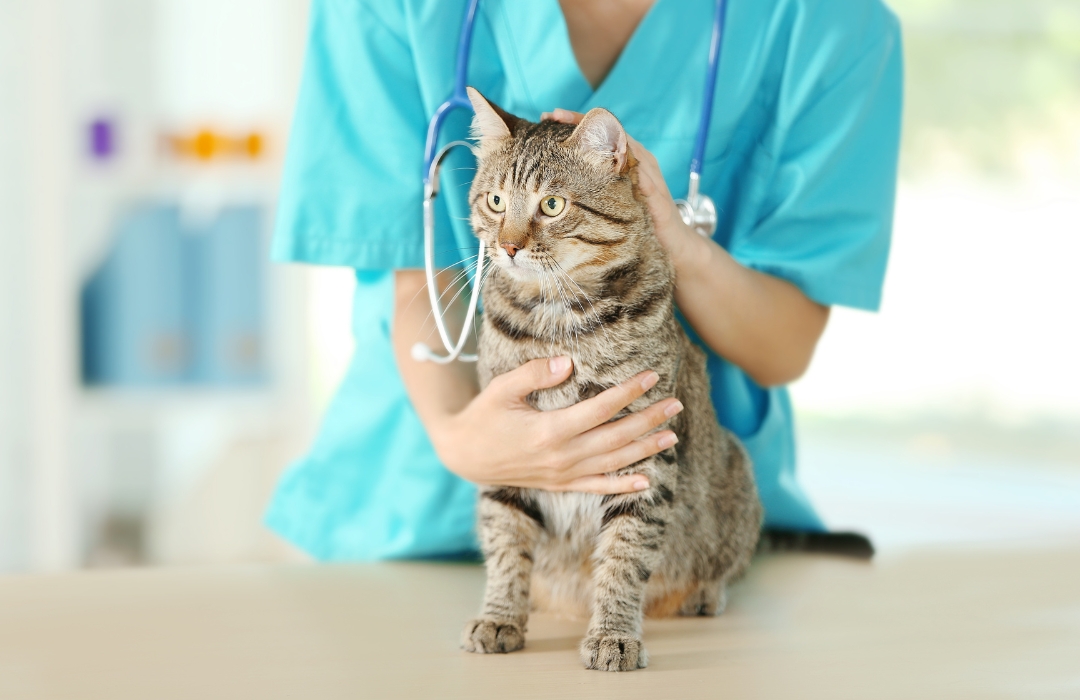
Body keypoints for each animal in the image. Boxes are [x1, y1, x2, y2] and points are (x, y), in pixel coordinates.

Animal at [460, 87, 764, 674]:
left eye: (552, 205)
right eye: (496, 202)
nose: (508, 246)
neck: (557, 322)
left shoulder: (645, 450)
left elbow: (623, 555)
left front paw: (613, 634)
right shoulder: (507, 441)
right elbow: (505, 541)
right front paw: (501, 616)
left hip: (736, 475)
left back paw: (703, 593)